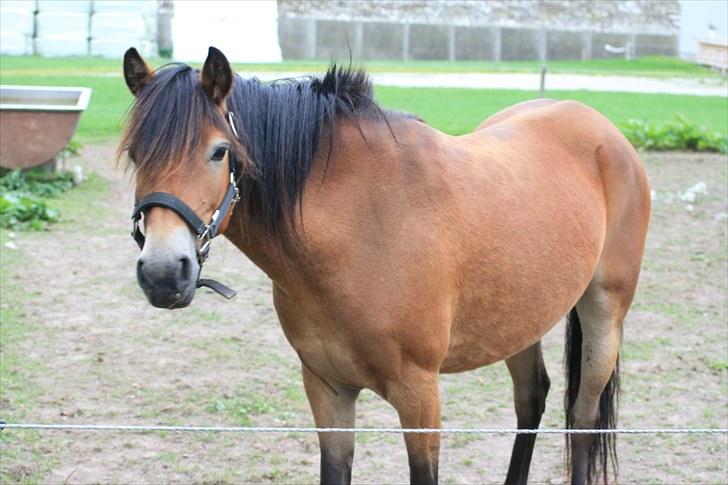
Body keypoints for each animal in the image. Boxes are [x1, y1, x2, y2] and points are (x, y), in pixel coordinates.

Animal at [122, 46, 652, 484]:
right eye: (135, 153)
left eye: (219, 151)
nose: (164, 272)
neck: (358, 228)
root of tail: (601, 130)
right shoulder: (327, 388)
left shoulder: (419, 395)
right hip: (520, 319)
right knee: (532, 399)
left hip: (604, 314)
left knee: (582, 418)